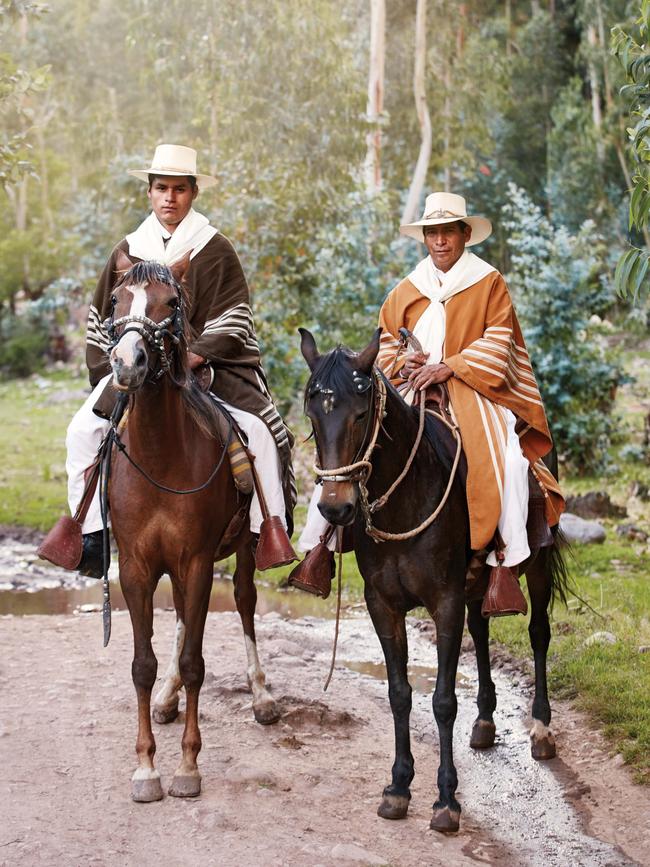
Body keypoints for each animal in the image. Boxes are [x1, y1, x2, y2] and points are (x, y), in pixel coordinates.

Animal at [106, 253, 278, 808]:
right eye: (116, 299)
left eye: (171, 302)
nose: (128, 363)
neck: (162, 454)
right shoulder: (136, 567)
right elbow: (144, 663)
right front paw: (145, 768)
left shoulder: (199, 562)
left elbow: (195, 659)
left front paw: (186, 766)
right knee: (182, 615)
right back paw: (166, 698)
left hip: (244, 550)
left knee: (244, 603)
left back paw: (261, 695)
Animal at [300, 328, 568, 836]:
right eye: (312, 415)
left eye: (361, 414)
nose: (336, 508)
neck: (408, 496)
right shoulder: (382, 604)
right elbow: (400, 694)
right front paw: (398, 787)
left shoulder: (444, 600)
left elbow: (443, 700)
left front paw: (446, 799)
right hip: (476, 580)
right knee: (481, 630)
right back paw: (485, 721)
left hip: (537, 562)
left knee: (539, 633)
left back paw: (542, 730)